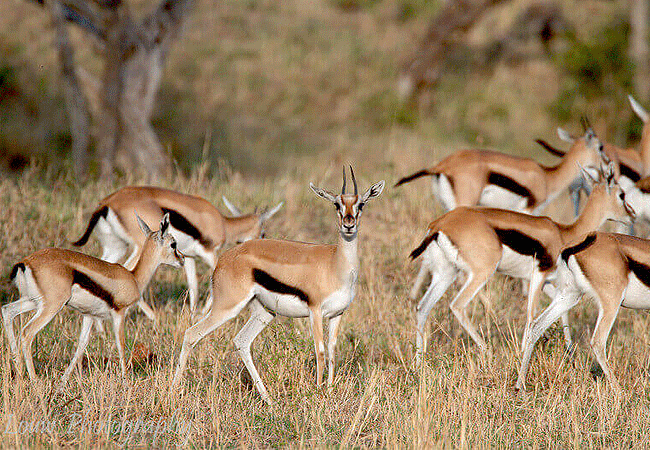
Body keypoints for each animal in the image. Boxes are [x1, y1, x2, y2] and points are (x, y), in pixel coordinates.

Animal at [2, 214, 184, 388]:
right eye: (173, 244)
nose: (182, 259)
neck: (134, 277)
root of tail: (25, 262)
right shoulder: (119, 313)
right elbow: (121, 345)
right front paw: (126, 381)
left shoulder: (89, 315)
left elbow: (80, 346)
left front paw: (63, 381)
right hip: (51, 306)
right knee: (27, 332)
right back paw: (34, 380)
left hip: (32, 301)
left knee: (7, 311)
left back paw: (19, 371)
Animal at [72, 186, 283, 317]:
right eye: (263, 233)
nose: (263, 246)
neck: (222, 223)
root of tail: (107, 203)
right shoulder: (209, 253)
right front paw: (204, 312)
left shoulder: (187, 256)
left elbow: (193, 285)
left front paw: (193, 314)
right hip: (139, 246)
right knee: (126, 268)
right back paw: (153, 317)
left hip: (115, 246)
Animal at [171, 168, 385, 404]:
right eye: (337, 204)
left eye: (361, 204)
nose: (349, 225)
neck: (335, 263)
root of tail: (225, 259)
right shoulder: (315, 311)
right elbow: (320, 351)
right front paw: (318, 393)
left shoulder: (337, 314)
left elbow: (331, 351)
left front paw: (329, 391)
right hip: (227, 308)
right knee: (192, 333)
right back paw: (171, 392)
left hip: (264, 313)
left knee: (242, 341)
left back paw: (268, 399)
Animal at [409, 161, 634, 364]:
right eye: (621, 194)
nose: (632, 215)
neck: (563, 233)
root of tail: (440, 224)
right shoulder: (539, 276)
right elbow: (531, 315)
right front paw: (523, 354)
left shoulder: (550, 283)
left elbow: (562, 313)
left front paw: (569, 352)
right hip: (481, 272)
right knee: (457, 305)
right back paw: (487, 351)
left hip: (446, 273)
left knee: (423, 307)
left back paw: (419, 363)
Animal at [516, 232, 650, 393]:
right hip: (611, 301)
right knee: (598, 341)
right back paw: (620, 391)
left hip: (570, 295)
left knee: (536, 326)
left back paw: (520, 385)